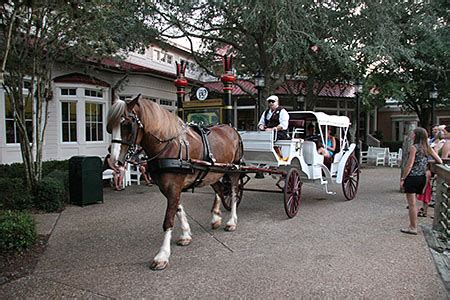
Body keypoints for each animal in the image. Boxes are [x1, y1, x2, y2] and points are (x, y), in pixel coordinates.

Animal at [106, 95, 243, 270]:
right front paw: (185, 234)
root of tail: (232, 129)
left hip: (233, 170)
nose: (113, 161)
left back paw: (232, 221)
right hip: (212, 172)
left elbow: (168, 219)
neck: (168, 145)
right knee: (219, 189)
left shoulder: (173, 186)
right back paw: (215, 218)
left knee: (233, 193)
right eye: (109, 127)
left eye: (127, 124)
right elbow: (178, 208)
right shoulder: (168, 187)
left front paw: (162, 255)